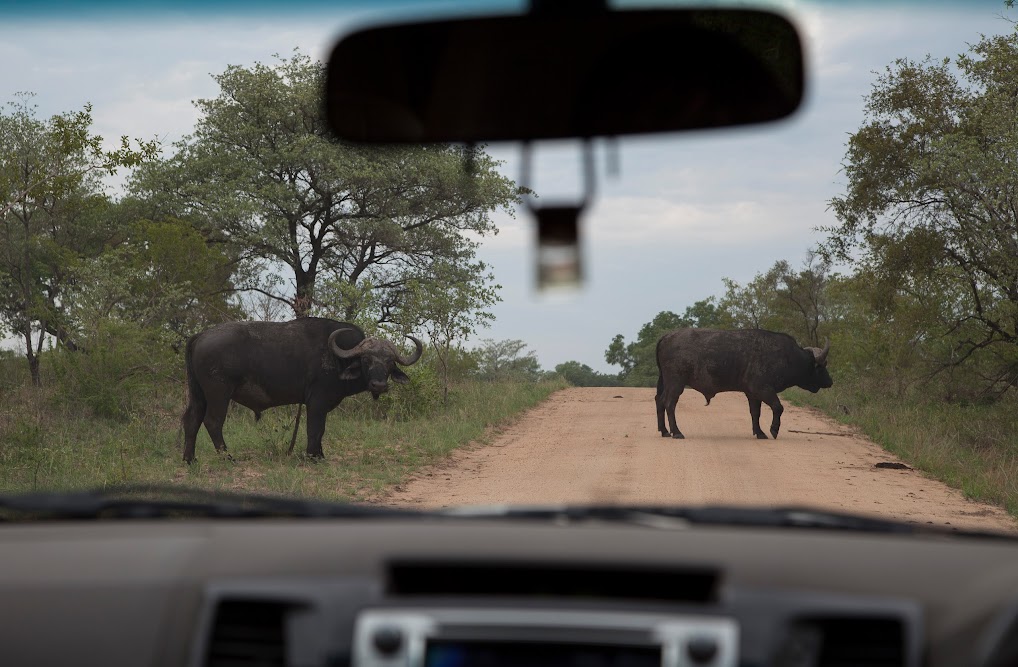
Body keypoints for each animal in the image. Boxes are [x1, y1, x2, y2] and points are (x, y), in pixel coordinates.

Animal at [182, 319, 421, 464]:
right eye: (366, 360)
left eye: (389, 362)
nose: (379, 385)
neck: (337, 359)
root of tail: (199, 336)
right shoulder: (316, 403)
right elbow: (315, 429)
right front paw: (313, 456)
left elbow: (320, 431)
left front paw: (320, 454)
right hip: (219, 394)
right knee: (213, 422)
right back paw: (227, 458)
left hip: (198, 394)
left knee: (191, 420)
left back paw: (190, 459)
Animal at [655, 329, 830, 443]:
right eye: (821, 367)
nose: (830, 381)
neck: (787, 357)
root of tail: (666, 337)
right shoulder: (763, 389)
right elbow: (778, 407)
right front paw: (773, 430)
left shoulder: (752, 394)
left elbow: (755, 413)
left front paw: (759, 432)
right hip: (676, 383)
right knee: (669, 403)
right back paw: (676, 432)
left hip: (666, 382)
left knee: (659, 401)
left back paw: (664, 431)